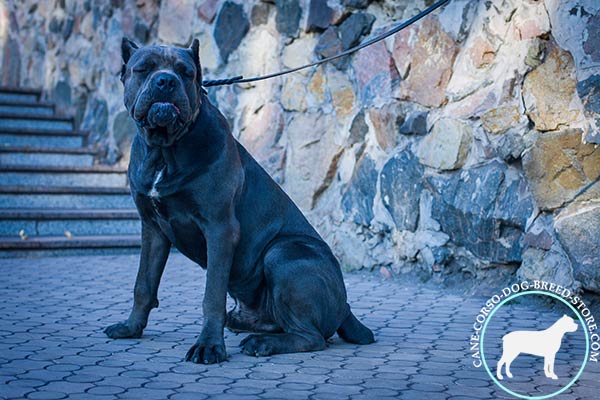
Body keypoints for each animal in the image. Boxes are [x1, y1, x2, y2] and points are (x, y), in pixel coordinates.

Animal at [105, 36, 372, 362]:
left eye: (185, 72)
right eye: (143, 68)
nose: (165, 81)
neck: (164, 150)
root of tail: (345, 306)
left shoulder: (220, 228)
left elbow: (212, 295)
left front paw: (209, 345)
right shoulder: (153, 228)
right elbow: (143, 284)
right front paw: (131, 327)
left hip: (283, 253)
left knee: (312, 336)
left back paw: (262, 343)